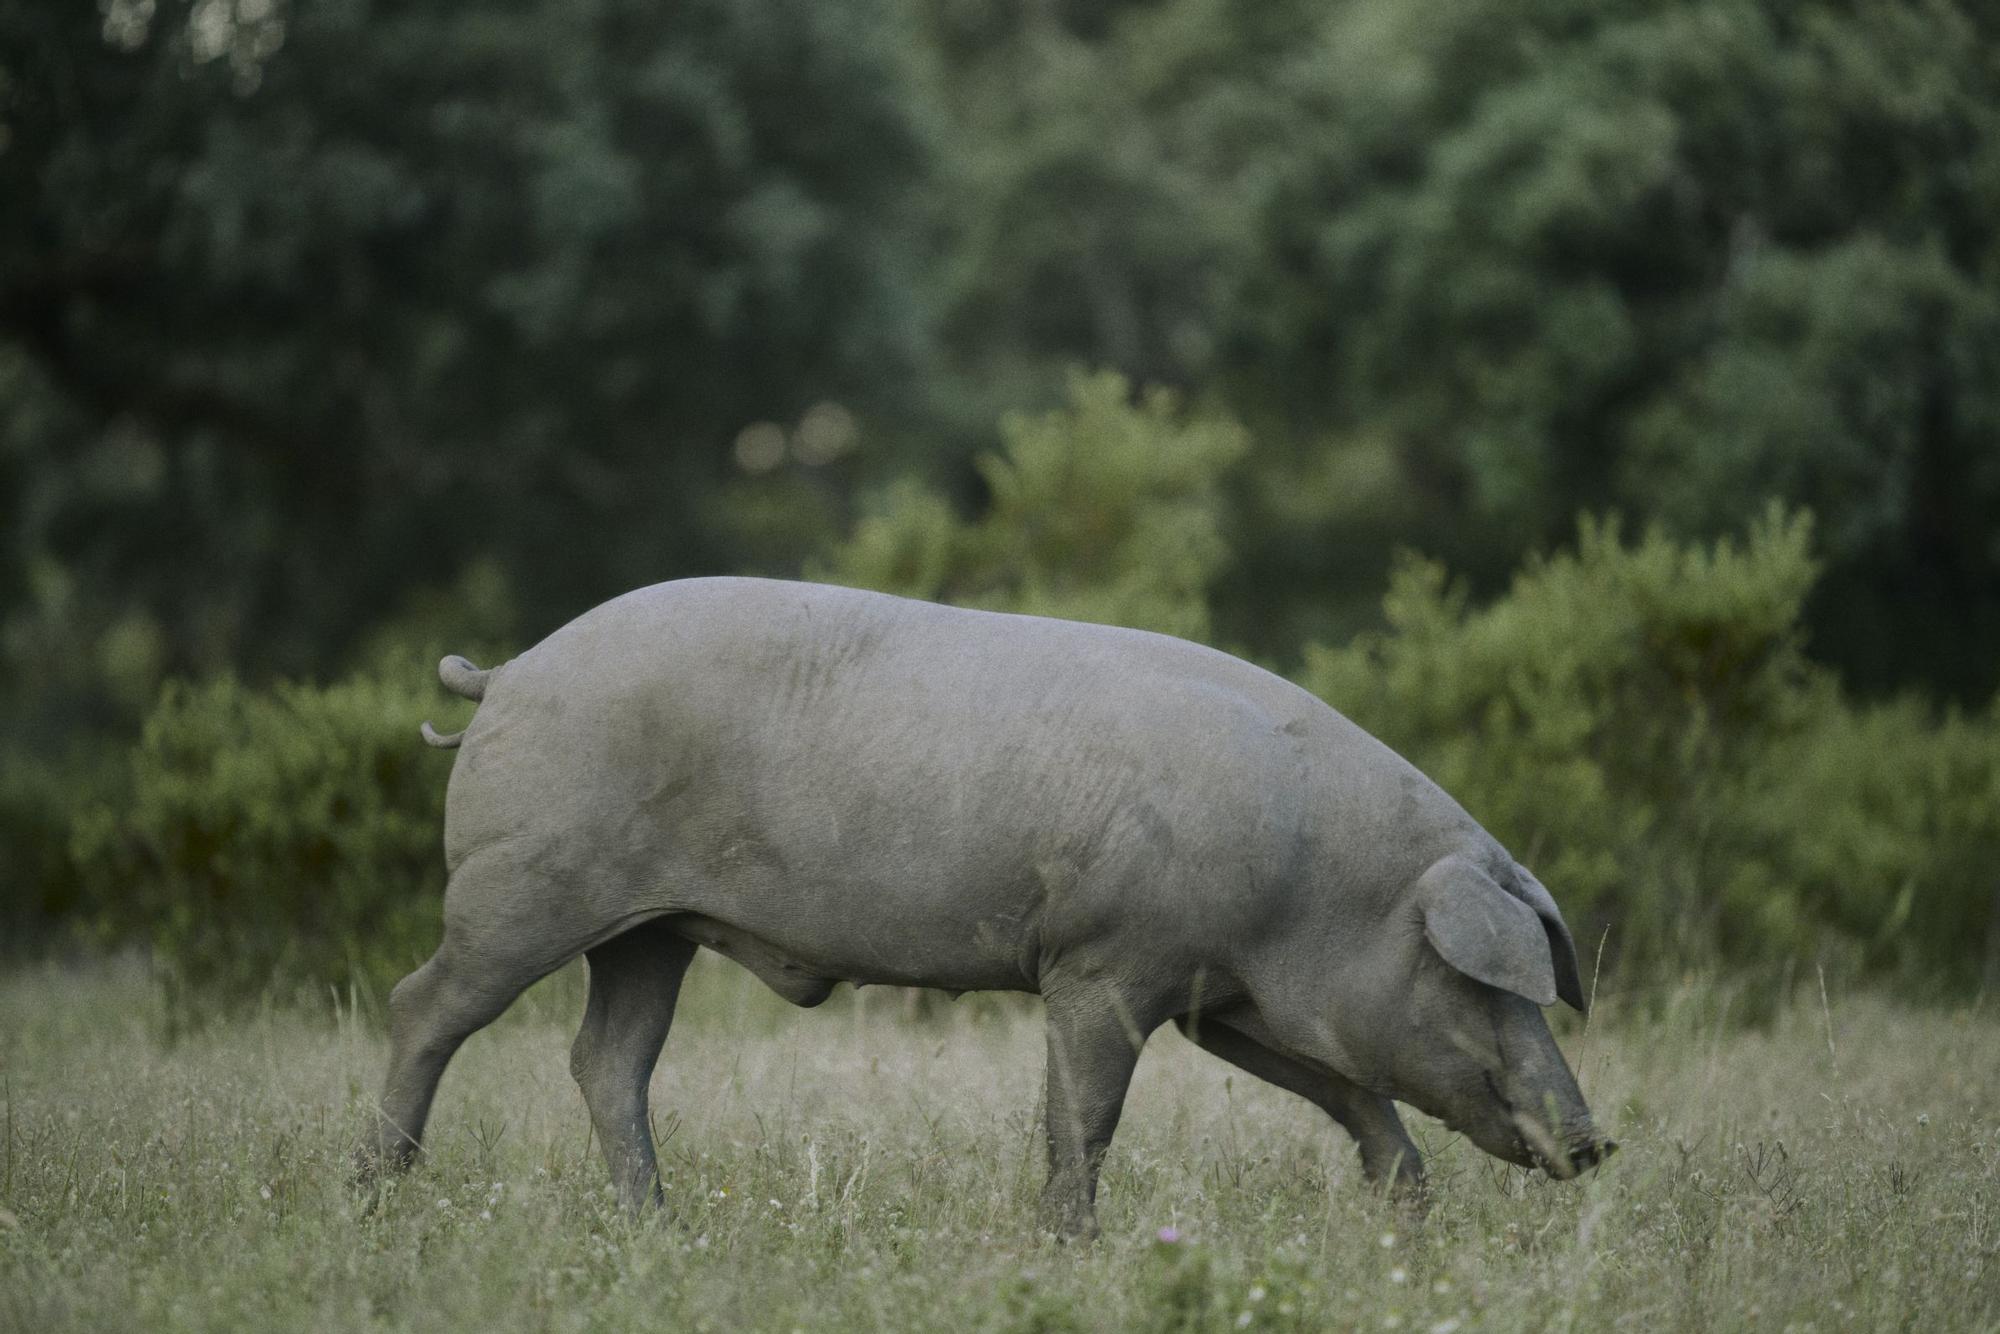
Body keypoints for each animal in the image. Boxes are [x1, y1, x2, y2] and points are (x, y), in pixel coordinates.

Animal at [360, 580, 1608, 1240]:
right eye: (1483, 983)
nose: (1595, 1140)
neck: (1312, 888)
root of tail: (507, 672)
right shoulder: (1105, 963)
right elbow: (1083, 1114)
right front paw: (1074, 1242)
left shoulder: (1223, 1000)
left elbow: (1351, 1089)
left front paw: (1411, 1217)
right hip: (523, 885)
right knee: (423, 1003)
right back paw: (377, 1191)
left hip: (647, 931)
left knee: (606, 1055)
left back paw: (659, 1225)